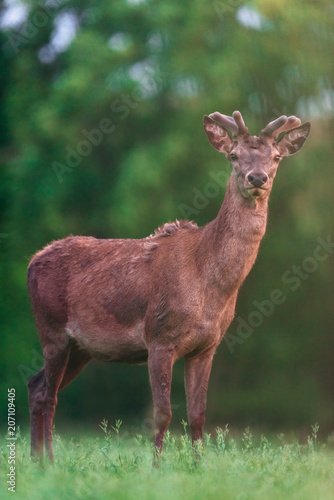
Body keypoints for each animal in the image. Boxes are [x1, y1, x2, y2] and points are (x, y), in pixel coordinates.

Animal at [26, 109, 310, 460]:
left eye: (276, 157)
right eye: (233, 155)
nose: (257, 178)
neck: (210, 288)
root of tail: (32, 262)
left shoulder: (207, 347)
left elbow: (198, 414)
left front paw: (199, 464)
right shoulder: (159, 337)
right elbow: (163, 413)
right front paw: (156, 466)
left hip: (81, 347)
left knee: (35, 385)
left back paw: (36, 460)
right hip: (52, 329)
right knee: (48, 395)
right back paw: (49, 461)